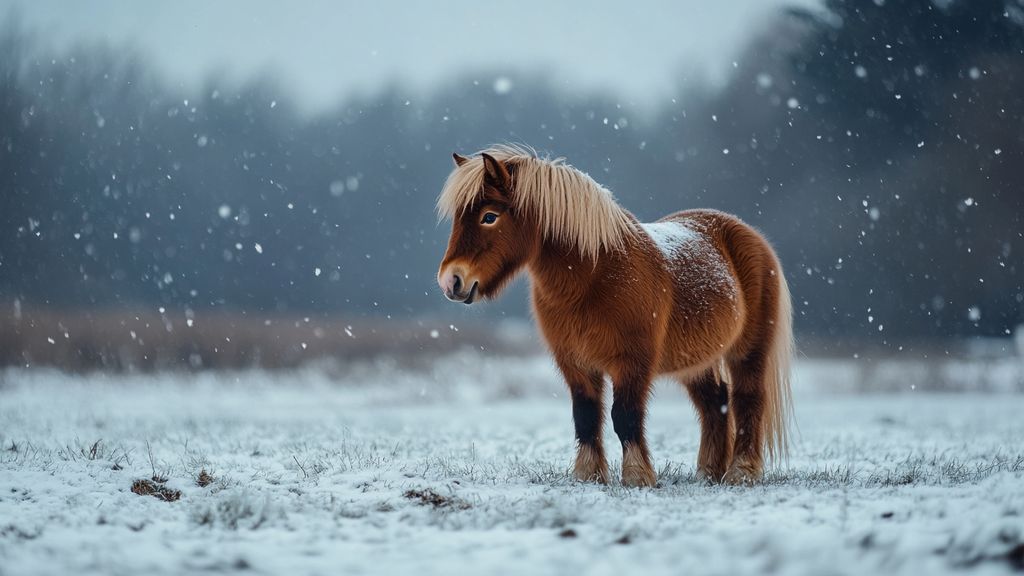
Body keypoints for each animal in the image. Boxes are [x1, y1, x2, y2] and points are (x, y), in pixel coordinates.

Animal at [432, 144, 790, 483]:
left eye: (489, 217)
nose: (451, 281)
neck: (593, 276)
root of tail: (746, 233)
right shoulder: (574, 362)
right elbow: (586, 416)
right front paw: (589, 475)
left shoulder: (632, 361)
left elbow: (625, 416)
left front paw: (637, 476)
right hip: (696, 361)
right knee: (716, 403)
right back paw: (708, 473)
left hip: (748, 352)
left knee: (747, 399)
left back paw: (741, 472)